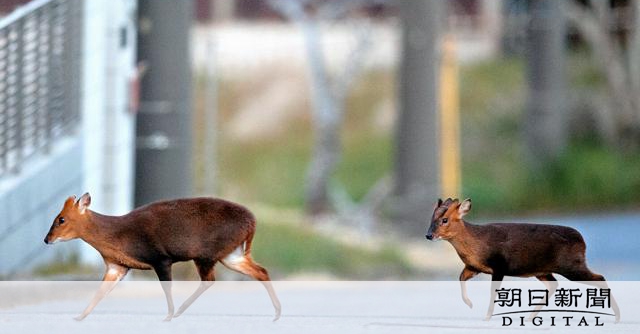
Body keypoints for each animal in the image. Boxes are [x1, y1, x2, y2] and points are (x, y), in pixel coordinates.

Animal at [43, 193, 282, 320]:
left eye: (61, 219)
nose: (46, 239)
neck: (116, 235)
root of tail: (252, 222)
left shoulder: (160, 258)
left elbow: (166, 288)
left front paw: (168, 315)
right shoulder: (116, 267)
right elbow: (100, 292)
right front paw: (79, 317)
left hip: (206, 253)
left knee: (209, 281)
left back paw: (177, 313)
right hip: (231, 254)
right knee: (261, 271)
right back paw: (277, 313)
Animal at [424, 197, 620, 322]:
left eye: (445, 220)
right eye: (431, 218)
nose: (428, 235)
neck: (476, 244)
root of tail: (582, 241)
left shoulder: (499, 265)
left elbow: (493, 292)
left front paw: (487, 317)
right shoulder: (474, 266)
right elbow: (460, 278)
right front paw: (470, 304)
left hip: (571, 264)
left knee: (600, 277)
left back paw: (618, 316)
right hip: (543, 270)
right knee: (554, 284)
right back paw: (530, 317)